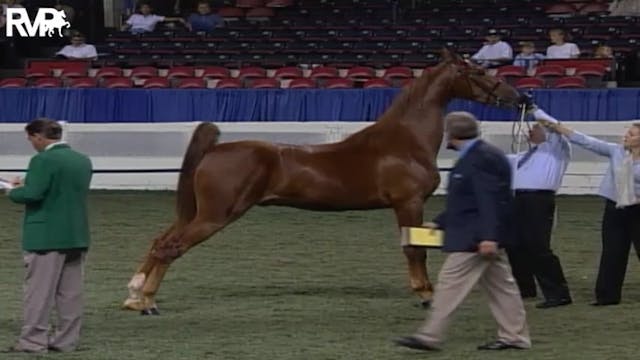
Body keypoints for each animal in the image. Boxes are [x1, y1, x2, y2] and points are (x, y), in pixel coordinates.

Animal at [122, 49, 524, 314]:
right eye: (479, 72)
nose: (520, 96)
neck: (405, 141)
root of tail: (216, 149)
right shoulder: (408, 203)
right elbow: (414, 250)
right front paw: (425, 295)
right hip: (214, 217)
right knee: (170, 248)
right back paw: (147, 302)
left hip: (197, 214)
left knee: (160, 241)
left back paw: (134, 294)